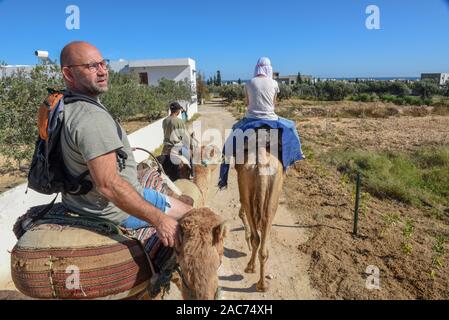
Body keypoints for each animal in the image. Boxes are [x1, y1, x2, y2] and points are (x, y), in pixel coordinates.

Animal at [233, 126, 282, 292]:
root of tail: (261, 164)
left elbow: (241, 211)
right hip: (273, 194)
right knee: (266, 223)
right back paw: (262, 284)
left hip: (246, 184)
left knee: (256, 235)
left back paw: (250, 267)